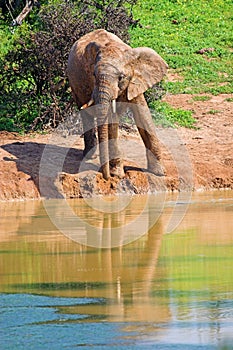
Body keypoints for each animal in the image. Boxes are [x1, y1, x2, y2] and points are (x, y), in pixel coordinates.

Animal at [67, 28, 167, 179]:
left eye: (121, 77)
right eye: (94, 75)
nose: (106, 177)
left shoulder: (135, 80)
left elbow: (143, 114)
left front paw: (159, 172)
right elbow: (111, 120)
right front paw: (117, 175)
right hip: (74, 83)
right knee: (85, 113)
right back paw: (90, 156)